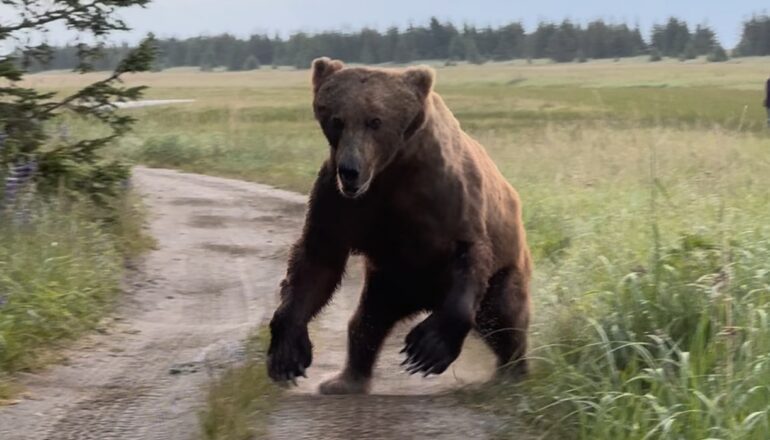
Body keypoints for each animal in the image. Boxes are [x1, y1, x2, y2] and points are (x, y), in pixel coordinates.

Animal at [267, 57, 532, 395]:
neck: (392, 168)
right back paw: (344, 380)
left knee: (503, 316)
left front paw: (429, 347)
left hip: (502, 269)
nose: (350, 170)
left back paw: (512, 371)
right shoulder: (342, 202)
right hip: (390, 282)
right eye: (337, 119)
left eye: (375, 120)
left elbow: (469, 251)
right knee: (367, 321)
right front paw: (288, 352)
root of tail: (426, 299)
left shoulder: (445, 194)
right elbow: (316, 260)